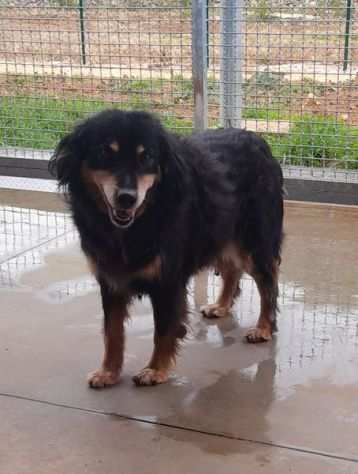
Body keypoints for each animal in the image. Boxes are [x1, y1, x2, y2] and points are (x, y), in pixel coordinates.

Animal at [50, 109, 284, 386]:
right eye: (105, 153)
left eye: (147, 157)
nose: (127, 198)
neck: (141, 218)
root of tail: (258, 140)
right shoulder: (110, 280)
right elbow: (112, 332)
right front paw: (108, 372)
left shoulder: (168, 281)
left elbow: (163, 330)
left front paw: (155, 370)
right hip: (220, 230)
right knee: (231, 270)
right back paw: (220, 306)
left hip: (254, 240)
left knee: (268, 282)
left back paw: (264, 328)